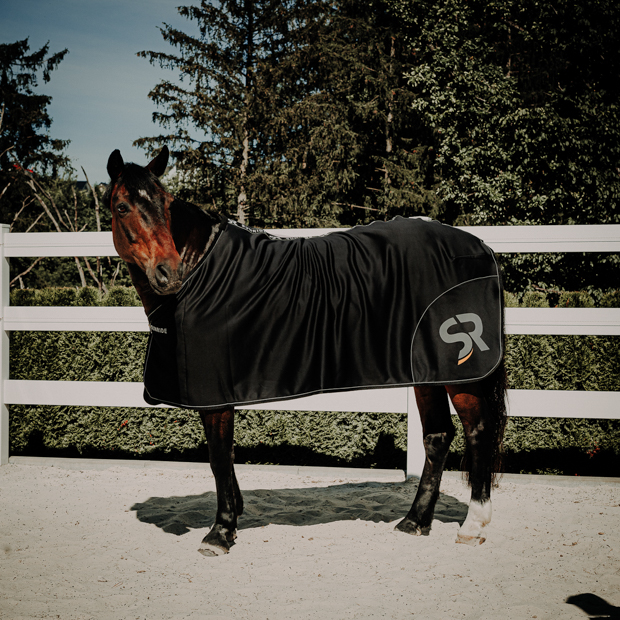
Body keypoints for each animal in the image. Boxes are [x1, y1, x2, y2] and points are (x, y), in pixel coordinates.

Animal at [104, 147, 506, 556]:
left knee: (478, 430)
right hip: (426, 370)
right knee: (437, 437)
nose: (167, 273)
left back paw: (472, 525)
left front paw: (220, 531)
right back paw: (414, 521)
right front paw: (234, 516)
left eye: (167, 204)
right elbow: (226, 458)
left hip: (460, 371)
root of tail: (479, 247)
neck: (201, 272)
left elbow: (218, 456)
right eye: (122, 207)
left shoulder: (214, 394)